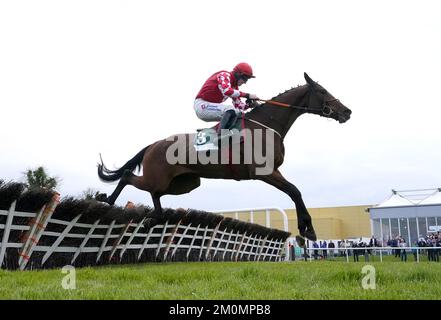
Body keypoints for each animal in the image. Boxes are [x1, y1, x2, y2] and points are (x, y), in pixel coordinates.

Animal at [96, 72, 350, 242]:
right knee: (128, 176)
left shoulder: (272, 171)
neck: (266, 126)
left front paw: (306, 228)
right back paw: (106, 199)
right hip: (159, 178)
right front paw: (308, 229)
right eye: (323, 91)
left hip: (183, 184)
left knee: (155, 194)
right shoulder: (265, 172)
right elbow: (294, 191)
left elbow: (295, 191)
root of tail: (153, 145)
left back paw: (153, 218)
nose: (347, 111)